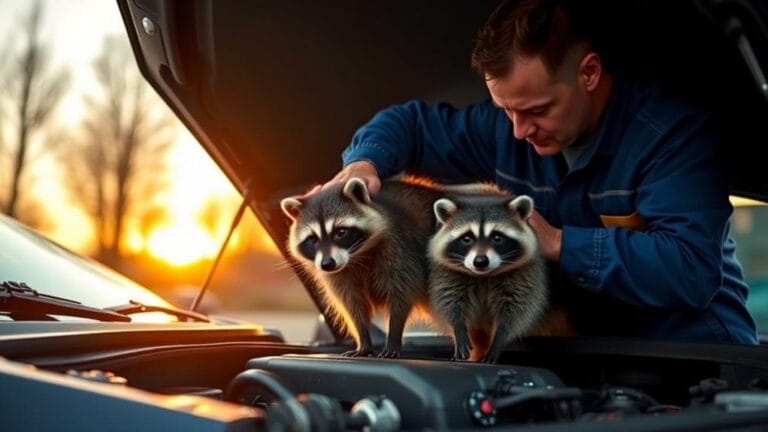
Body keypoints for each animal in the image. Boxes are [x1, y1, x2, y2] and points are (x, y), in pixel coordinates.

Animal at [280, 176, 442, 358]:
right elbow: (352, 304)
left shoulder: (400, 249)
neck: (356, 256)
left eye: (341, 232)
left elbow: (401, 293)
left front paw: (394, 335)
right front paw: (363, 338)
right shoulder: (338, 274)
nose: (327, 264)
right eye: (313, 239)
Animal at [428, 191, 548, 363]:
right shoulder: (448, 274)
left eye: (497, 238)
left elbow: (516, 311)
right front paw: (458, 328)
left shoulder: (524, 275)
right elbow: (449, 302)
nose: (480, 262)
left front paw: (499, 338)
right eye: (466, 238)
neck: (484, 276)